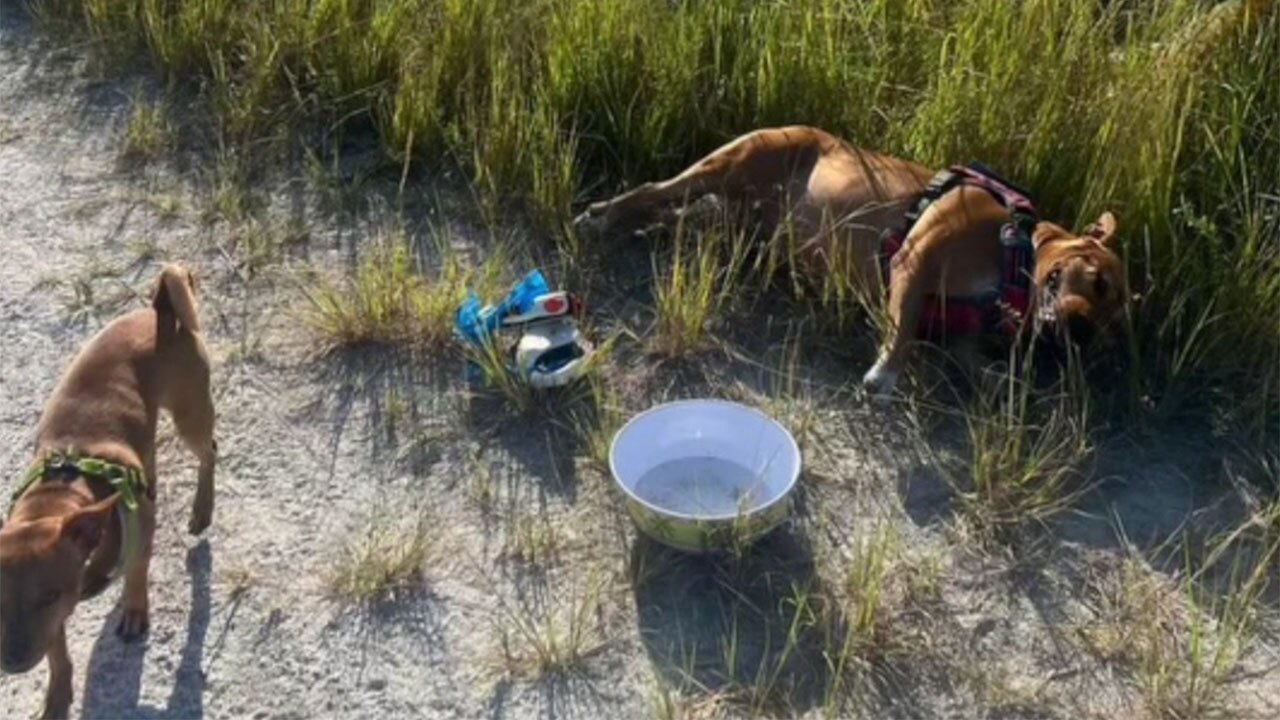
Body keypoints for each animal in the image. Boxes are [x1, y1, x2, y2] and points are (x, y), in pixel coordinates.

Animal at [0, 263, 215, 717]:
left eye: (48, 594)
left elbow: (136, 569)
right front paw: (57, 696)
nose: (12, 662)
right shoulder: (57, 620)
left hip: (190, 417)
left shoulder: (140, 528)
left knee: (209, 454)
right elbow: (58, 655)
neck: (59, 496)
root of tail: (161, 312)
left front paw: (134, 609)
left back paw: (202, 509)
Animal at [576, 124, 1126, 392]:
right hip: (726, 164)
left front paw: (1005, 381)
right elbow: (901, 324)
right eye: (1099, 281)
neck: (1014, 258)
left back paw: (637, 225)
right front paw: (885, 372)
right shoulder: (915, 258)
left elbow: (970, 359)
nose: (1085, 334)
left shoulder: (957, 335)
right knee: (653, 189)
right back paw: (602, 216)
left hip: (729, 226)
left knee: (672, 216)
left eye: (1115, 320)